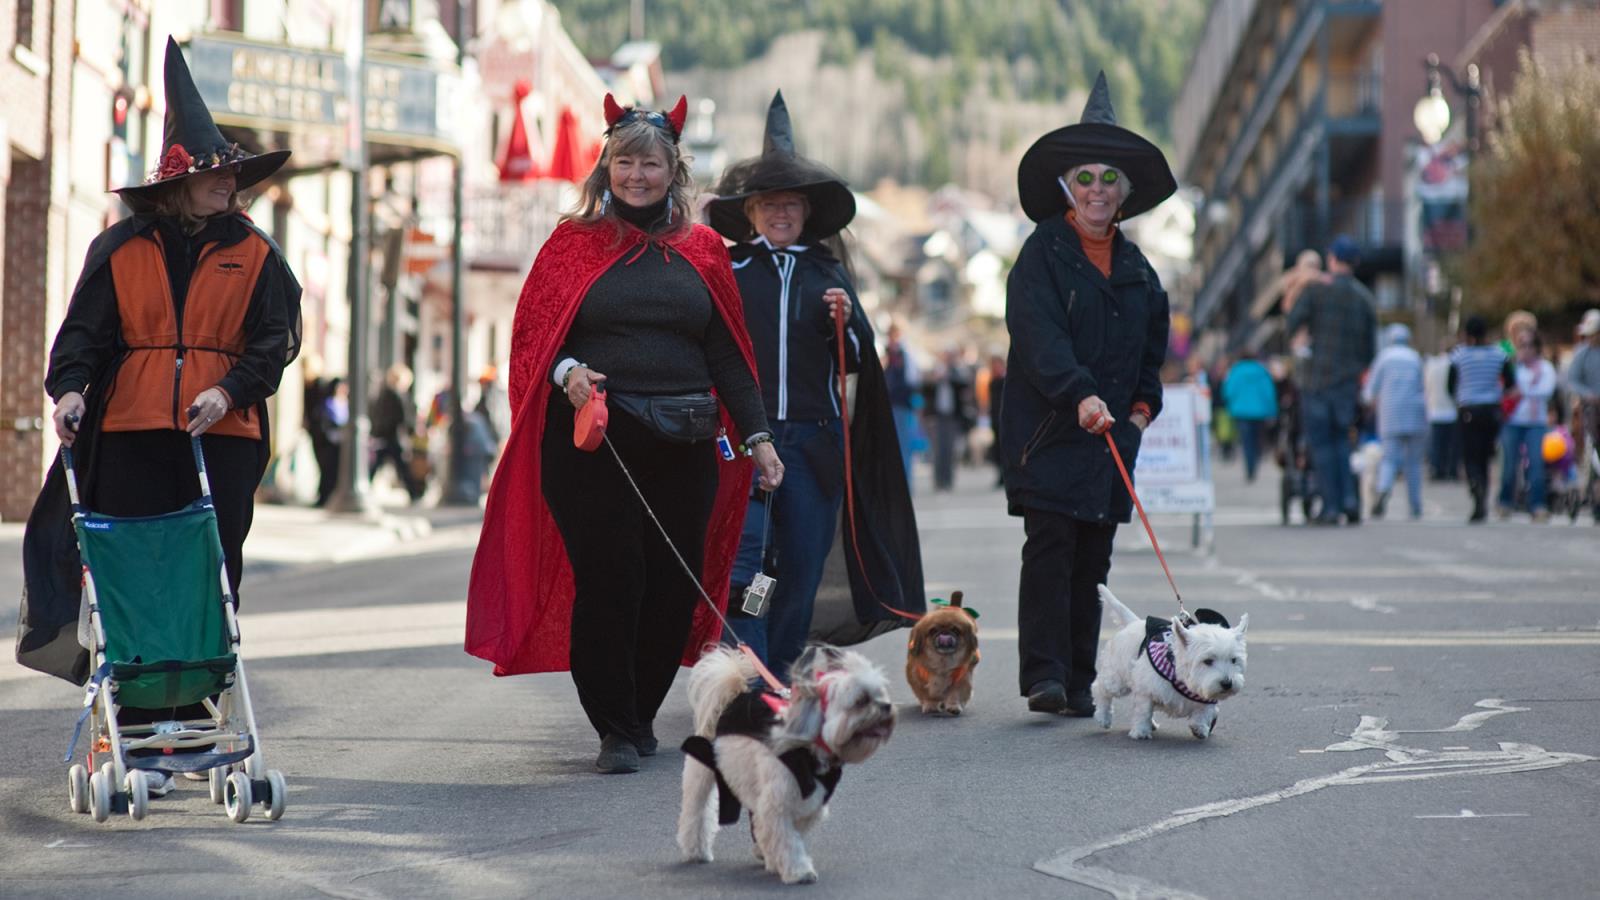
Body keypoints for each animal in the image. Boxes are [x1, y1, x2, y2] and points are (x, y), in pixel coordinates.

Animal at [678, 643, 902, 883]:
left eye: (881, 693)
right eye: (861, 701)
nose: (886, 706)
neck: (809, 751)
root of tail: (730, 699)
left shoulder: (809, 803)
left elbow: (786, 833)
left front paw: (771, 857)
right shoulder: (777, 804)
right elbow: (787, 839)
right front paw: (798, 870)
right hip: (701, 772)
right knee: (696, 812)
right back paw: (696, 850)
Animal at [1088, 582, 1248, 736]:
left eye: (1234, 660)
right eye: (1207, 661)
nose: (1227, 684)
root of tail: (1133, 622)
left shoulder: (1207, 697)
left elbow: (1204, 712)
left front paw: (1200, 728)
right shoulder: (1146, 690)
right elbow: (1143, 711)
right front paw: (1140, 731)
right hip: (1117, 677)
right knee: (1100, 688)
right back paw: (1103, 717)